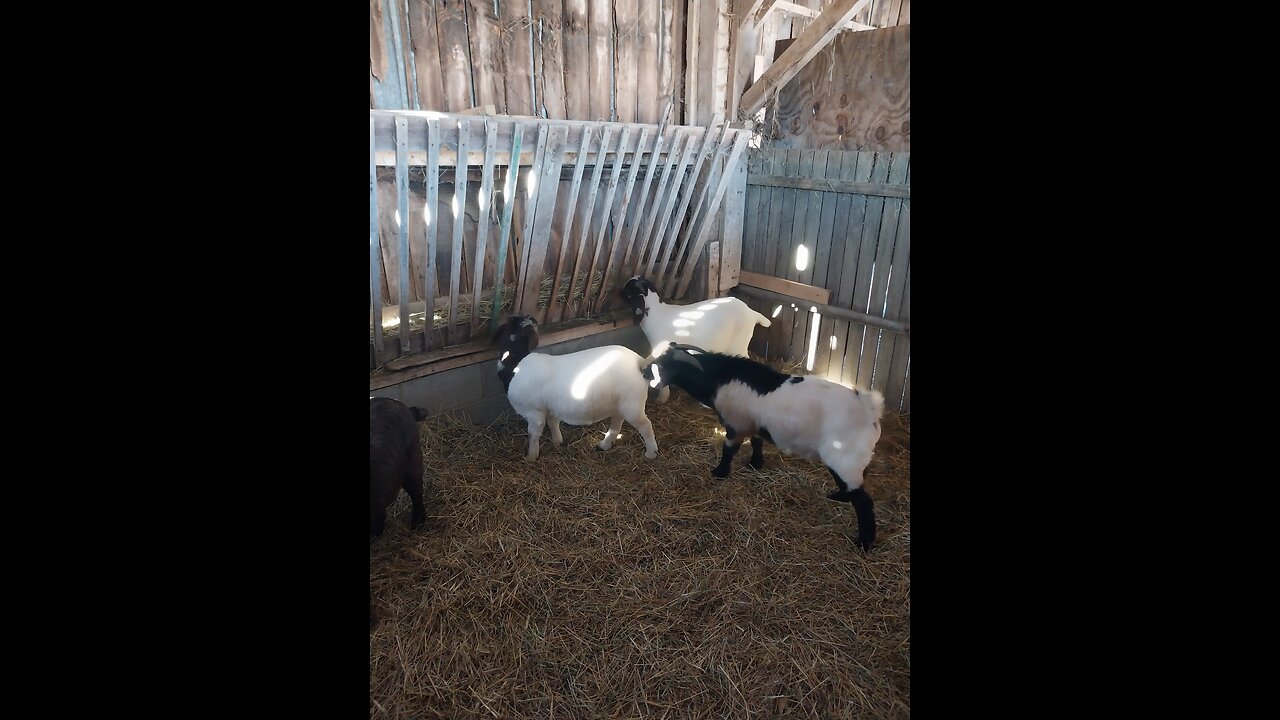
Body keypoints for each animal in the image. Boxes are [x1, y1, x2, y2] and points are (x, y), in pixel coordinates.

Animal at [491, 313, 660, 458]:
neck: (514, 361)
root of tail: (639, 361)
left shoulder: (534, 412)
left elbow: (534, 435)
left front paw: (531, 457)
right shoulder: (550, 408)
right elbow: (553, 424)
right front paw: (557, 442)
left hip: (633, 404)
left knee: (645, 425)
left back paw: (651, 453)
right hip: (621, 403)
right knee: (617, 422)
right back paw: (603, 445)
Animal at [619, 274, 768, 399]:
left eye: (628, 291)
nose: (618, 292)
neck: (656, 315)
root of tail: (751, 312)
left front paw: (662, 398)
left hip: (739, 344)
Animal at [645, 340, 885, 548]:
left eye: (662, 365)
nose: (644, 372)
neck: (720, 379)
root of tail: (870, 409)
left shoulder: (736, 424)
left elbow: (728, 450)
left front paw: (720, 472)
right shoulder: (753, 423)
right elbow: (757, 442)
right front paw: (755, 464)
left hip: (845, 458)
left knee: (863, 502)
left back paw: (864, 543)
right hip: (850, 458)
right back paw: (839, 497)